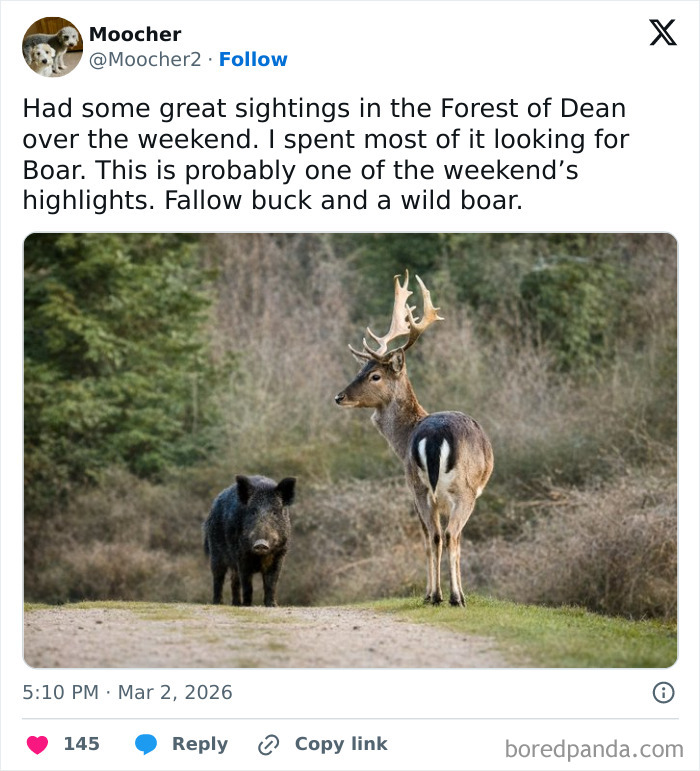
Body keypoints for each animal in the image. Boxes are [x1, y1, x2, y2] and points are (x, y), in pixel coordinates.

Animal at [203, 475, 296, 606]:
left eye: (274, 512)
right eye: (252, 512)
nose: (261, 543)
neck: (260, 556)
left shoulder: (279, 555)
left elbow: (271, 582)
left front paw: (272, 605)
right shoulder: (241, 554)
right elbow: (247, 584)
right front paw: (247, 605)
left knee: (234, 580)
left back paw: (236, 604)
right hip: (215, 552)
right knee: (218, 576)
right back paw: (218, 603)